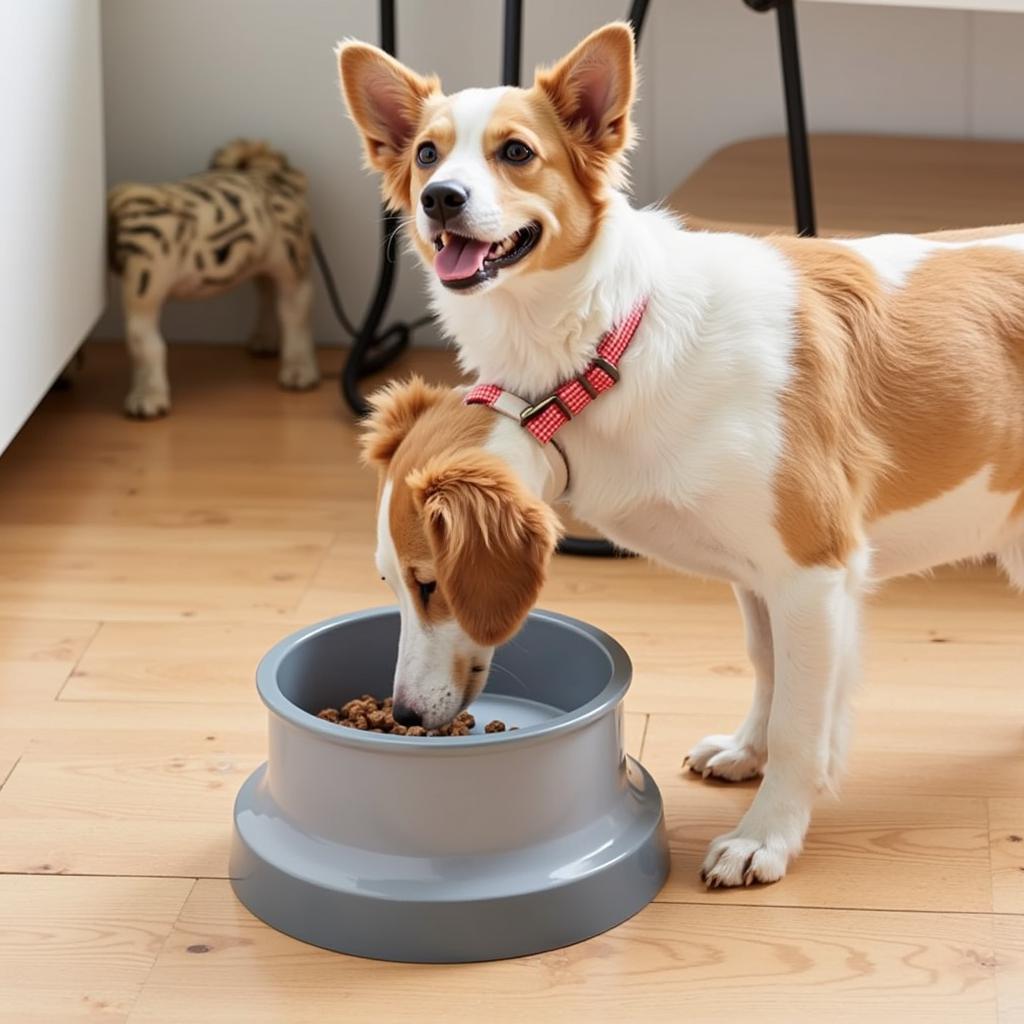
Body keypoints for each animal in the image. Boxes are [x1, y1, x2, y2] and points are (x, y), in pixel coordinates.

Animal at [339, 24, 1024, 888]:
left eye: (516, 152)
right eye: (427, 155)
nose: (439, 199)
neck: (600, 354)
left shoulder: (813, 571)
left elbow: (802, 719)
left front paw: (768, 834)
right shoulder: (760, 577)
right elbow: (768, 670)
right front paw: (747, 751)